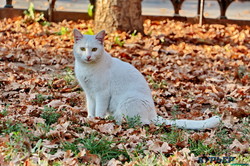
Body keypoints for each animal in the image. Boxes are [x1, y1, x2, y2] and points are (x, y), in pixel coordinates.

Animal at [73, 29, 221, 130]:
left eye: (94, 49)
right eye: (82, 49)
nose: (88, 56)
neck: (87, 69)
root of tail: (153, 114)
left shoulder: (102, 94)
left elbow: (98, 110)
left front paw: (97, 121)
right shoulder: (90, 94)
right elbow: (91, 108)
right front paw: (90, 119)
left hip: (128, 102)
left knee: (141, 122)